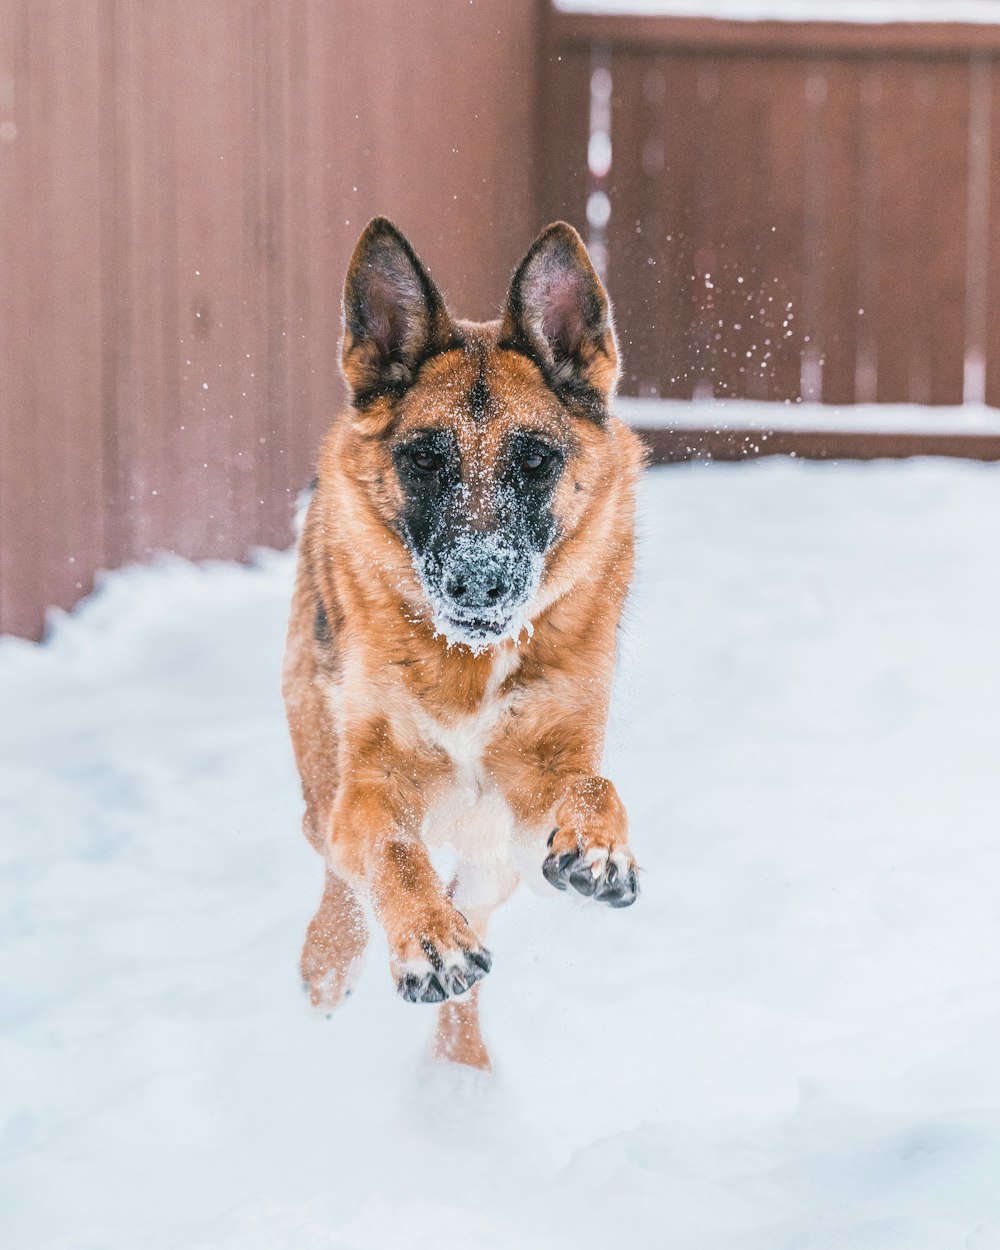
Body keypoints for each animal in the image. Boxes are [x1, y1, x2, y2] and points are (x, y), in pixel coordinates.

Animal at [283, 212, 640, 1065]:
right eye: (423, 459)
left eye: (535, 459)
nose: (479, 584)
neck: (468, 666)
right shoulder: (371, 786)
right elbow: (391, 852)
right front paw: (426, 943)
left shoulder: (543, 785)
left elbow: (594, 786)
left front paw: (602, 849)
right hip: (323, 779)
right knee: (338, 865)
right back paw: (333, 960)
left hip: (492, 857)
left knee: (472, 909)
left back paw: (462, 1069)